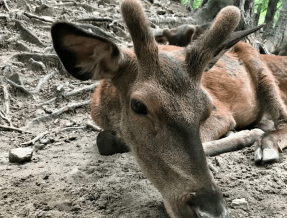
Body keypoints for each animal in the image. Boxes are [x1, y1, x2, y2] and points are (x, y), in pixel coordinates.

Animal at [50, 0, 287, 215]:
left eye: (207, 107)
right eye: (138, 105)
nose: (210, 210)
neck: (105, 108)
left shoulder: (223, 113)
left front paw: (246, 135)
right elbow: (104, 141)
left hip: (261, 69)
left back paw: (265, 144)